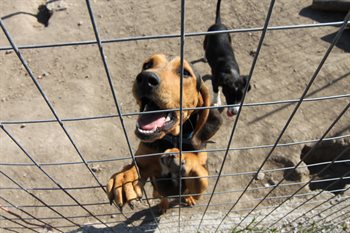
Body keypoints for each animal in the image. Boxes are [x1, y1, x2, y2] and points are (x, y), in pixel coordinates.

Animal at [106, 53, 221, 212]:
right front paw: (124, 179)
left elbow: (198, 170)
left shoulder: (202, 180)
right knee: (161, 195)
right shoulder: (143, 161)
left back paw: (188, 198)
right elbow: (135, 166)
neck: (171, 139)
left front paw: (181, 155)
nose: (146, 78)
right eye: (147, 65)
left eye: (185, 72)